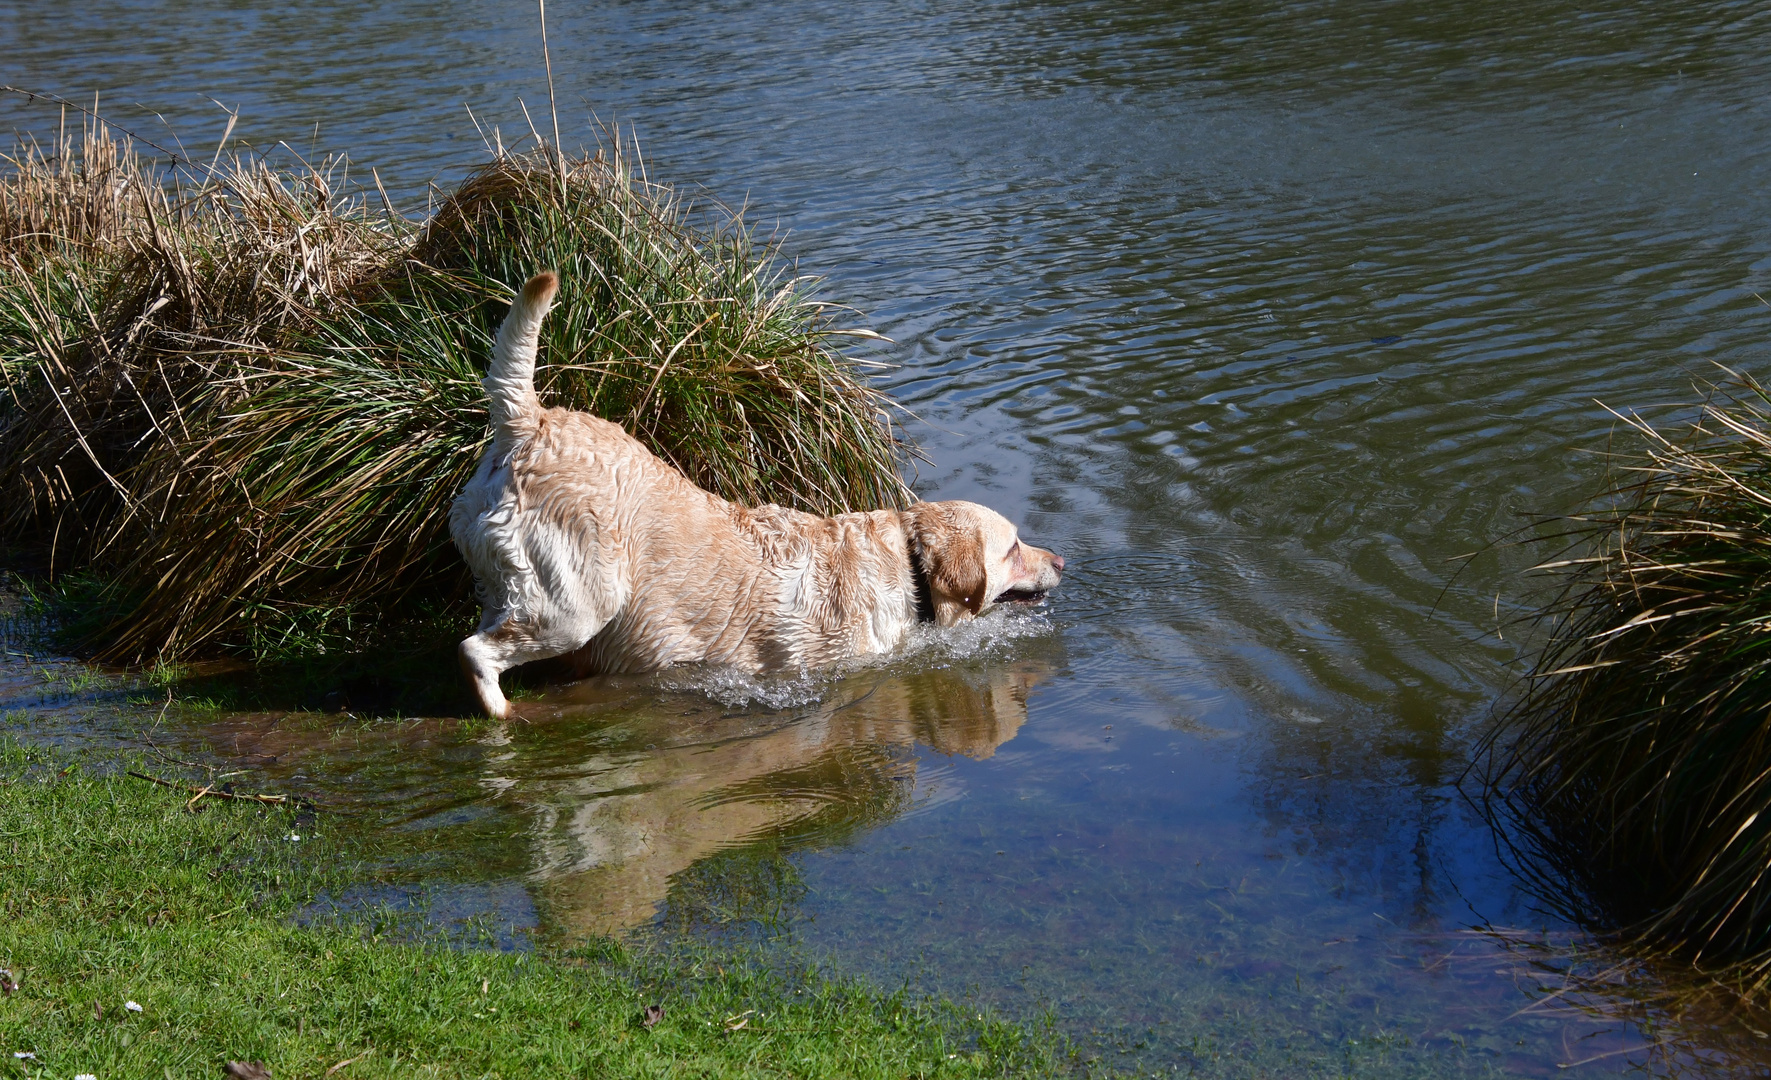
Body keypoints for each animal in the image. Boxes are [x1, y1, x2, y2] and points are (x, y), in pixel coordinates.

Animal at [449, 270, 1062, 715]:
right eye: (1012, 548)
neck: (905, 565)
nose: (1060, 560)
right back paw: (503, 713)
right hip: (576, 605)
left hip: (514, 581)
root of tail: (531, 421)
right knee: (473, 651)